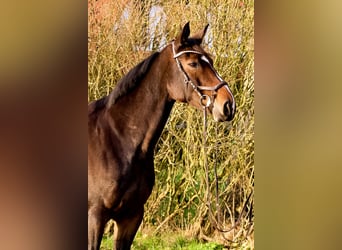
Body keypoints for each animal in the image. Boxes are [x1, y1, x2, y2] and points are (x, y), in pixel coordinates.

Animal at [88, 22, 235, 249]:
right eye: (193, 63)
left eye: (210, 60)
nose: (228, 105)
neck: (120, 140)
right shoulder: (95, 216)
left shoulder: (131, 216)